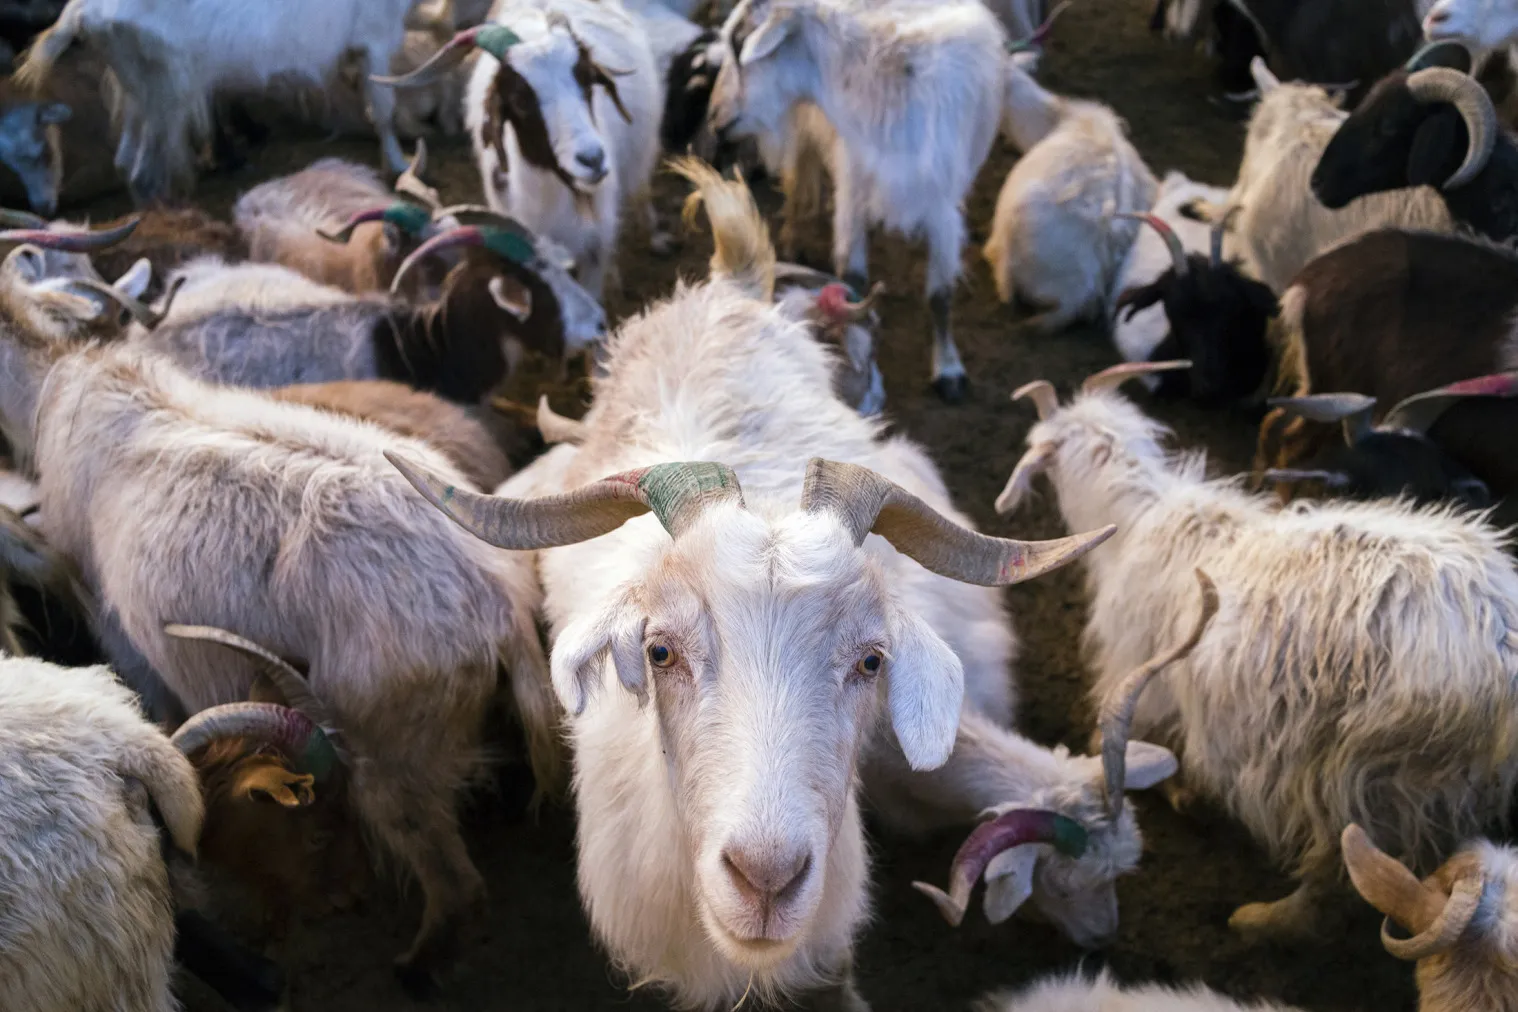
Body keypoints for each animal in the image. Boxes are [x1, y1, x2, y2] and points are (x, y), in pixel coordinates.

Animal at [0, 223, 561, 986]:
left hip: (391, 750)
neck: (63, 385)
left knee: (455, 885)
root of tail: (501, 607)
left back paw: (413, 967)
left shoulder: (127, 640)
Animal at [15, 0, 435, 200]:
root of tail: (83, 12)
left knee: (124, 159)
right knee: (142, 169)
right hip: (166, 89)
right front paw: (401, 163)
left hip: (138, 90)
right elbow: (382, 108)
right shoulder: (373, 41)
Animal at [706, 0, 1008, 402]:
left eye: (740, 45)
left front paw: (948, 369)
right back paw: (794, 236)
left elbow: (940, 294)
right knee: (799, 181)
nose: (714, 117)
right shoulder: (853, 186)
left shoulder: (941, 205)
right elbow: (853, 277)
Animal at [996, 361, 1518, 942]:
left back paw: (1264, 920)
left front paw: (1179, 792)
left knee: (1340, 869)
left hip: (1365, 771)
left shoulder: (1140, 668)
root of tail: (1502, 640)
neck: (1138, 517)